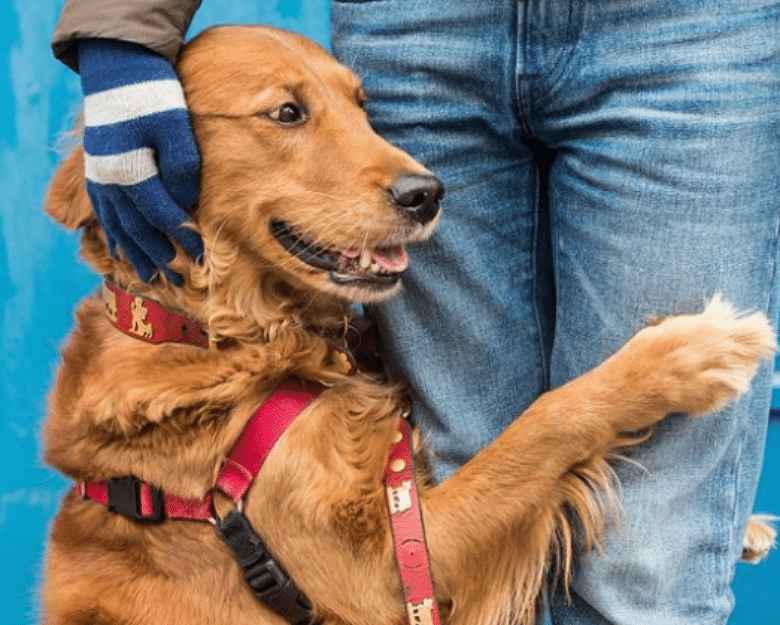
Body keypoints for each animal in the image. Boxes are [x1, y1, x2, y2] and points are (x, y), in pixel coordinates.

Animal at [41, 25, 772, 625]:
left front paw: (746, 527)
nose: (427, 194)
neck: (220, 335)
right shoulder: (382, 574)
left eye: (362, 105)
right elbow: (542, 425)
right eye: (287, 112)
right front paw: (689, 354)